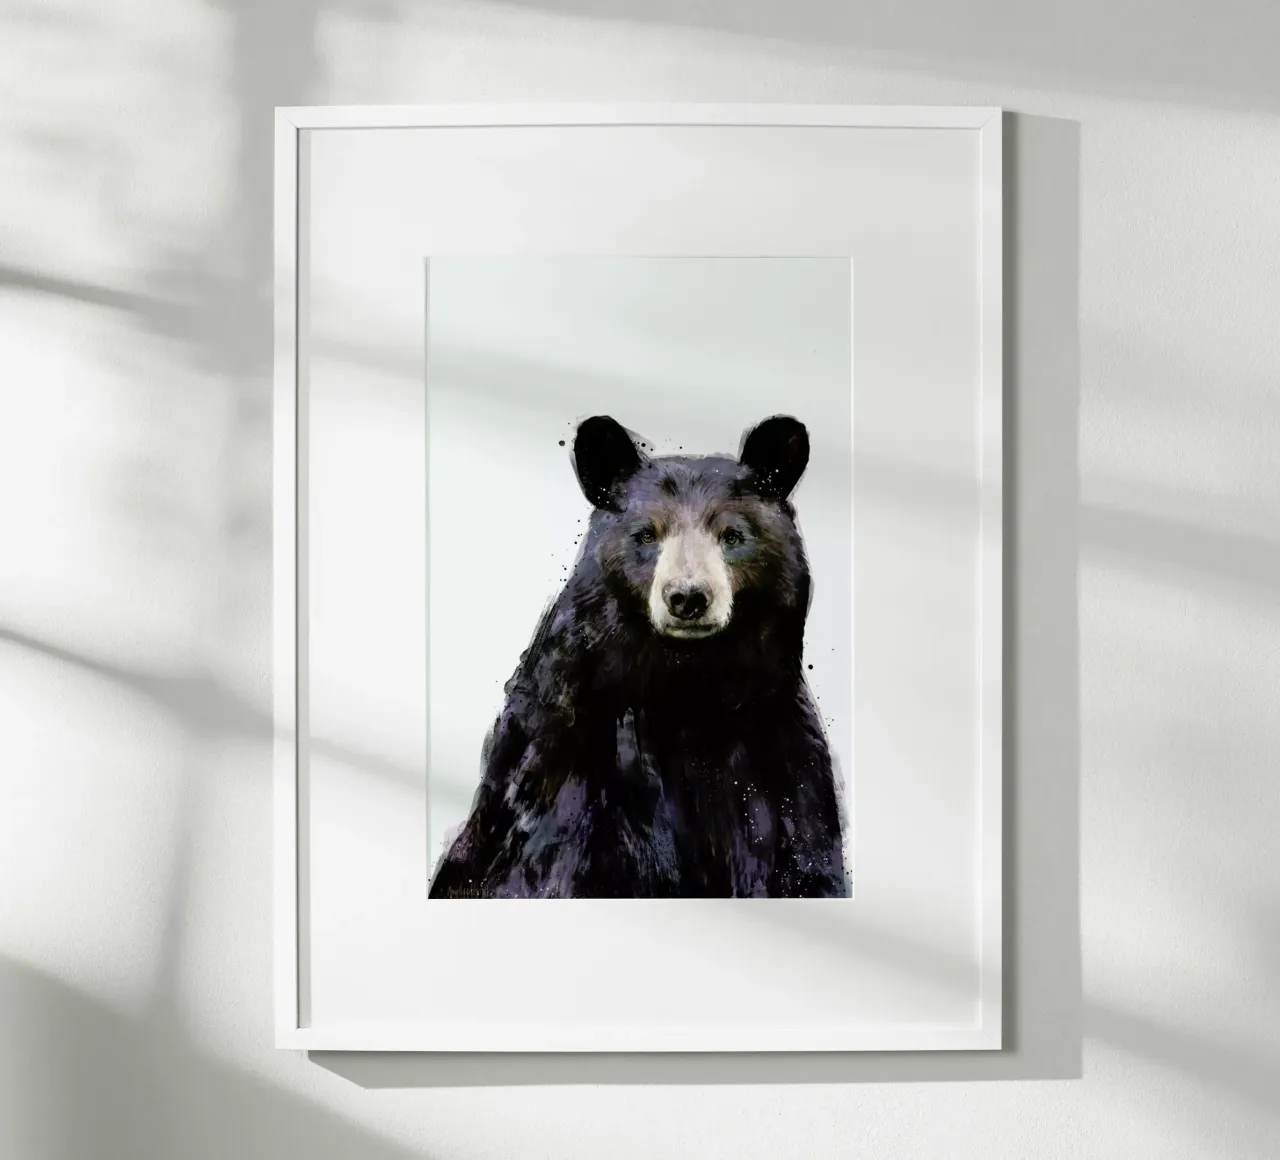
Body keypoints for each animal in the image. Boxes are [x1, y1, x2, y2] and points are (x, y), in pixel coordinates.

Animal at [427, 414, 849, 899]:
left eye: (733, 536)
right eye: (647, 534)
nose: (688, 597)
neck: (687, 687)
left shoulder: (782, 758)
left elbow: (805, 858)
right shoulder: (568, 759)